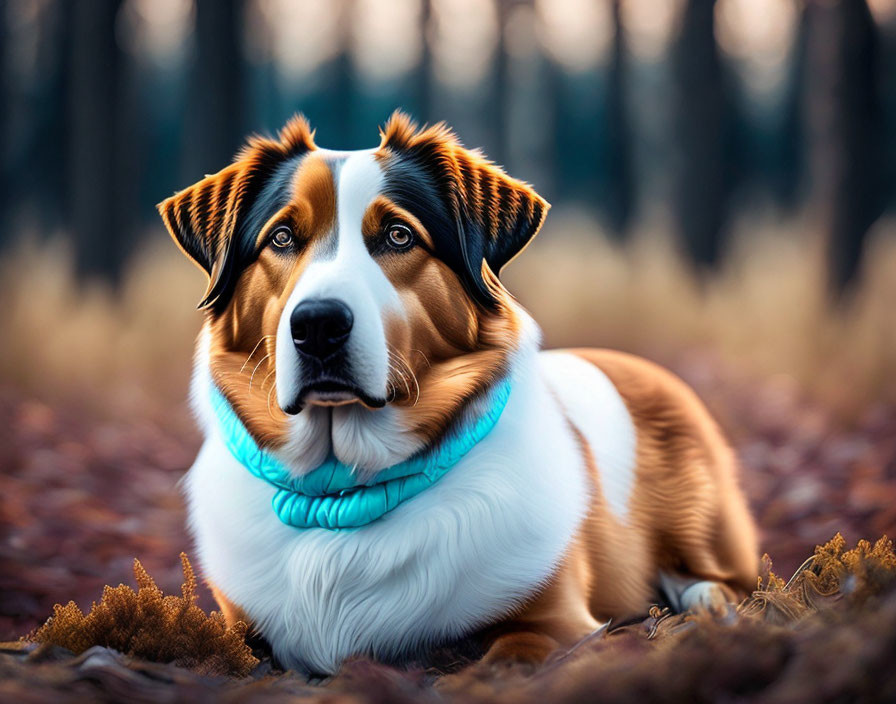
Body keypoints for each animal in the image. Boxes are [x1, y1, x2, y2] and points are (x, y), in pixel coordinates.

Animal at [159, 111, 756, 676]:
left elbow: (509, 656)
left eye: (399, 235)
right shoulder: (238, 630)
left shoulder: (560, 624)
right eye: (281, 237)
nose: (318, 325)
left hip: (701, 520)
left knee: (729, 577)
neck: (342, 493)